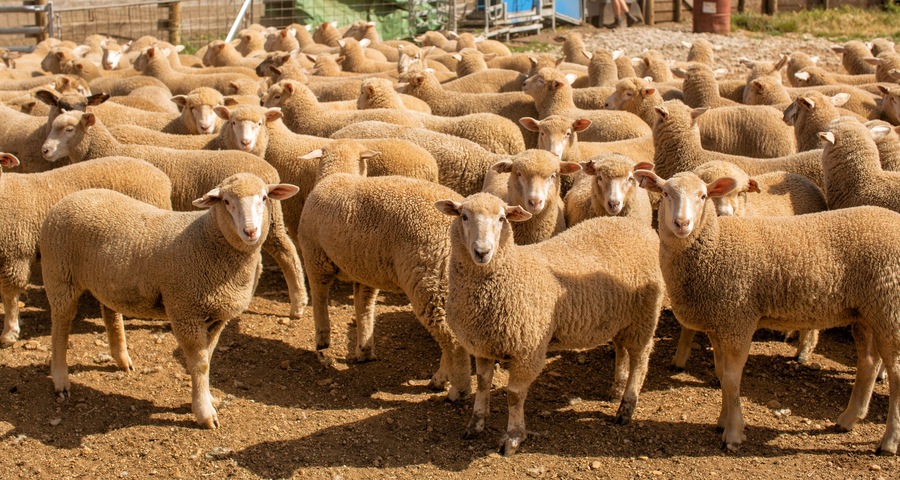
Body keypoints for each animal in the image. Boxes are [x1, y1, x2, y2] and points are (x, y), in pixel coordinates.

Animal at [44, 173, 299, 429]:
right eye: (226, 201)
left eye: (264, 198)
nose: (251, 231)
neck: (207, 239)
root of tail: (69, 199)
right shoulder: (185, 312)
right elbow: (200, 364)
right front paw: (204, 412)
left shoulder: (217, 317)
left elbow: (208, 358)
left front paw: (206, 398)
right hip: (60, 276)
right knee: (60, 328)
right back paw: (60, 379)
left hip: (107, 281)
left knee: (110, 314)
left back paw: (122, 359)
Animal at [297, 140, 470, 399]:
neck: (338, 174)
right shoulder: (365, 270)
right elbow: (364, 307)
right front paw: (364, 349)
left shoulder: (315, 257)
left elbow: (319, 299)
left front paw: (322, 339)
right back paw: (442, 379)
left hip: (430, 281)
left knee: (453, 340)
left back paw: (457, 389)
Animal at [435, 193, 664, 455]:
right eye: (463, 216)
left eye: (502, 218)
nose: (482, 252)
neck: (511, 271)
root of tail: (641, 228)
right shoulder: (482, 345)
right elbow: (483, 384)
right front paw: (476, 423)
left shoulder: (529, 349)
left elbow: (514, 395)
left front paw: (513, 438)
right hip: (620, 317)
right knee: (621, 349)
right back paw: (617, 389)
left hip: (644, 317)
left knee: (640, 360)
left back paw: (626, 407)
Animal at [669, 160, 828, 370]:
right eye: (708, 193)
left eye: (740, 193)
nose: (725, 213)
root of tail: (804, 180)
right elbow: (687, 327)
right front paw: (679, 357)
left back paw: (803, 351)